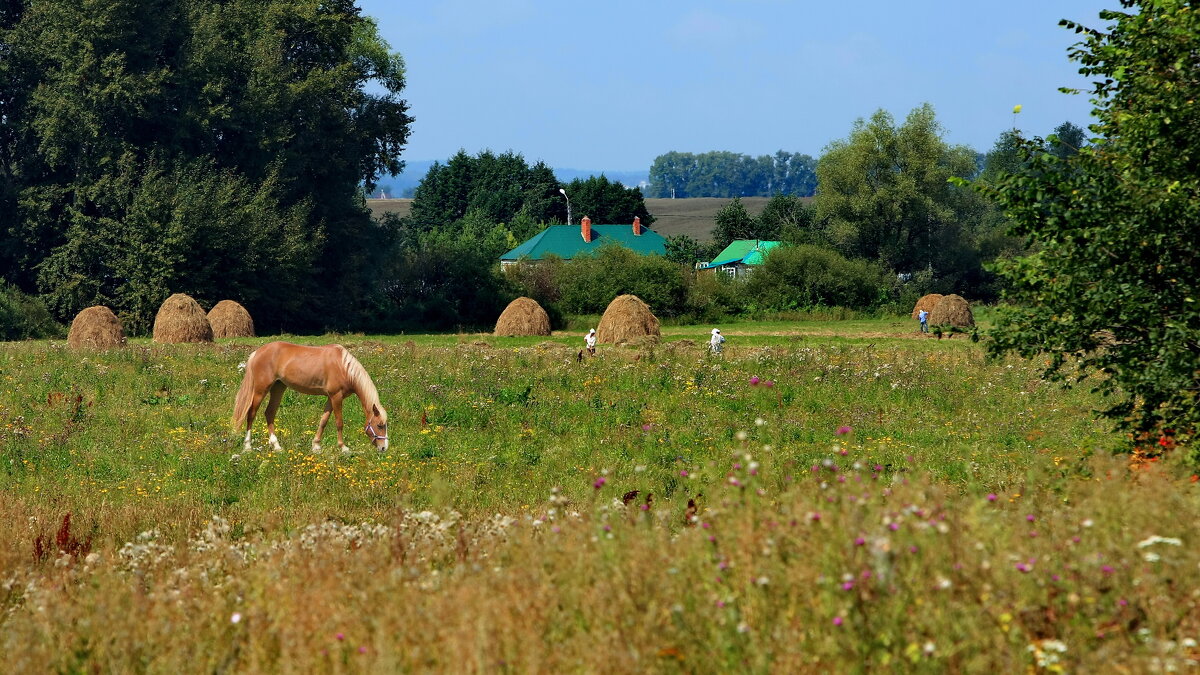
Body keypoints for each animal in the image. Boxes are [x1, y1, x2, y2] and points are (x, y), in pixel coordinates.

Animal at [230, 341, 388, 451]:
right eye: (379, 425)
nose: (384, 448)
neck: (344, 367)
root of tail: (257, 352)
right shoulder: (336, 396)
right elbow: (339, 422)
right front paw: (343, 448)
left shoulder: (331, 398)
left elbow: (323, 421)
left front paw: (316, 445)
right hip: (260, 390)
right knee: (251, 413)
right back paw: (248, 446)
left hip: (278, 388)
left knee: (269, 413)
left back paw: (277, 446)